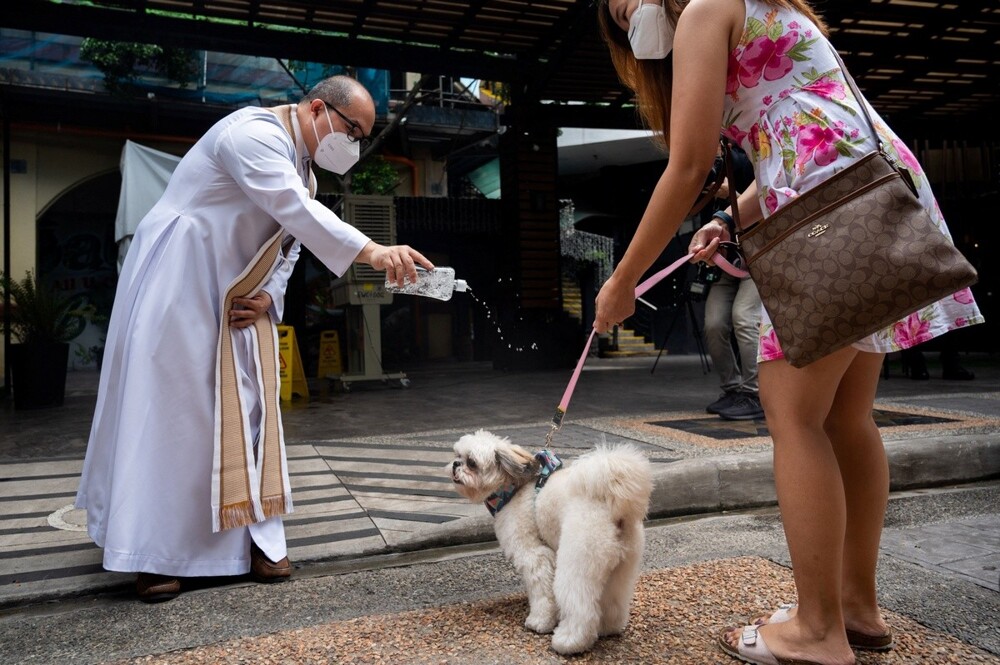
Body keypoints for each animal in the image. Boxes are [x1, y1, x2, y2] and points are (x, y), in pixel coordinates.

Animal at [450, 430, 652, 652]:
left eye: (472, 462)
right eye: (457, 455)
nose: (455, 464)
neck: (512, 490)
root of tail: (612, 506)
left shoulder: (535, 556)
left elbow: (542, 593)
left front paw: (539, 622)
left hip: (577, 561)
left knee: (579, 605)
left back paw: (569, 641)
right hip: (620, 567)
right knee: (613, 599)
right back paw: (608, 628)